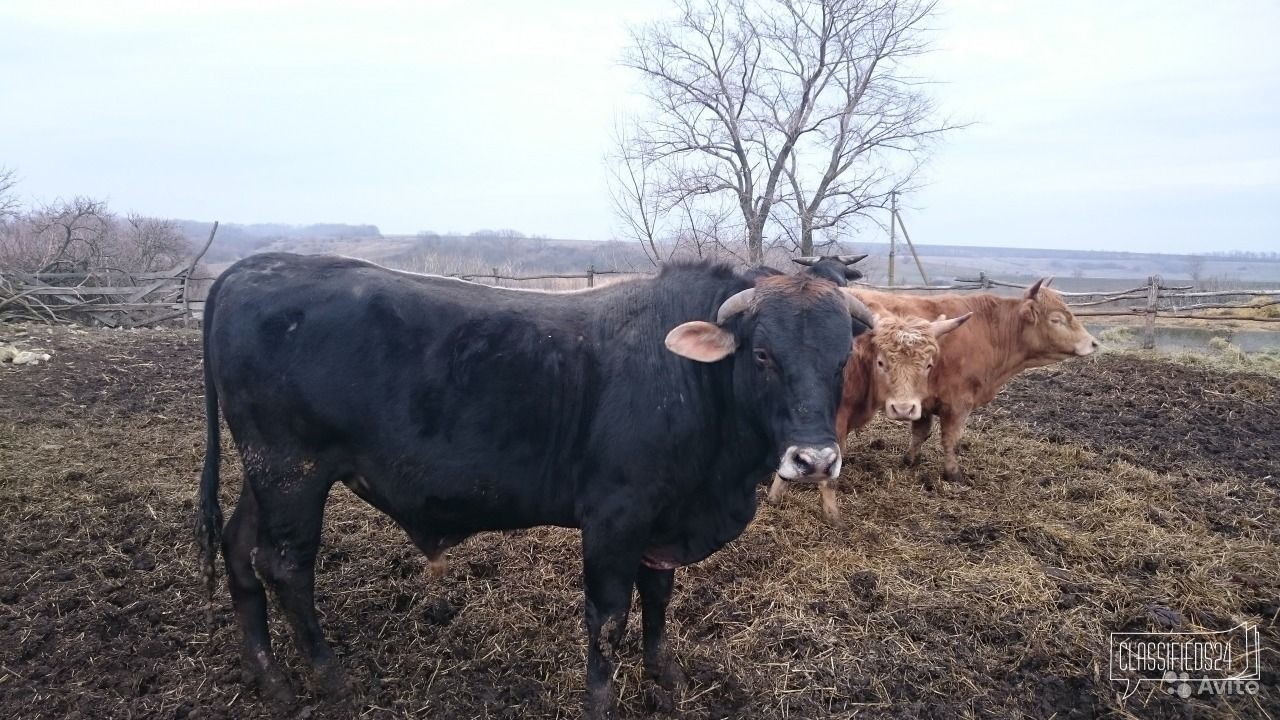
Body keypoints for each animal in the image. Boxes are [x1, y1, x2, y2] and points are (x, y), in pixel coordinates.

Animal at [194, 251, 875, 712]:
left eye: (842, 357)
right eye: (763, 355)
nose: (815, 461)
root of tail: (256, 266)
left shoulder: (663, 521)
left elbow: (658, 598)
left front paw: (665, 675)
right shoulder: (614, 517)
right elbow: (608, 616)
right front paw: (600, 699)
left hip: (265, 474)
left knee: (240, 549)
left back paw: (268, 675)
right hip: (294, 473)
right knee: (285, 567)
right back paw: (329, 677)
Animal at [849, 274, 1100, 486]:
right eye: (1056, 319)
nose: (1093, 343)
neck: (988, 331)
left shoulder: (921, 402)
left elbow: (921, 432)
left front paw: (910, 460)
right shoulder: (958, 402)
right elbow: (951, 439)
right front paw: (953, 474)